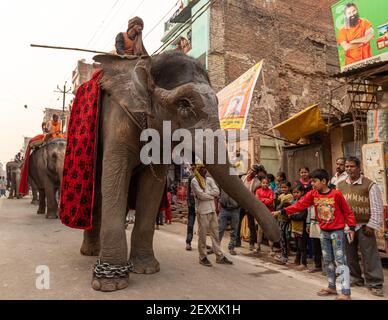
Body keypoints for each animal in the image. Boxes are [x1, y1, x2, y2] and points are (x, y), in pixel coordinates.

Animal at [80, 50, 280, 292]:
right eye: (184, 103)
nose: (277, 237)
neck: (151, 63)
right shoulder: (118, 122)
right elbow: (116, 179)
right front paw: (110, 284)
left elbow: (152, 188)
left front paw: (147, 269)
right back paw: (90, 253)